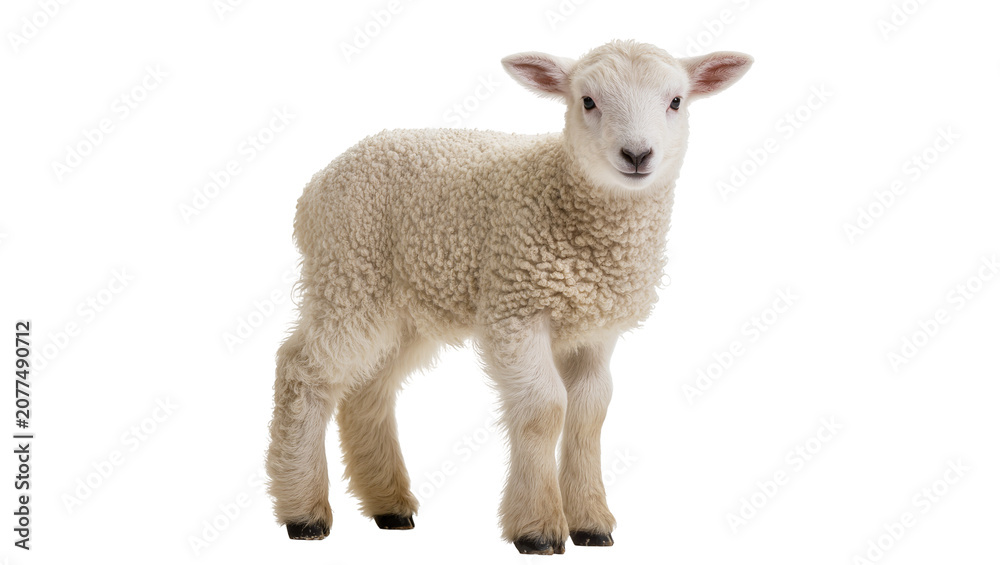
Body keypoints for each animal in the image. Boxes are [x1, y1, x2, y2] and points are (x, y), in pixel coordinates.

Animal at [266, 39, 752, 555]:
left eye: (676, 101)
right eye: (588, 101)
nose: (638, 154)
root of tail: (318, 184)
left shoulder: (595, 330)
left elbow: (589, 413)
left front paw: (590, 523)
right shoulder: (515, 308)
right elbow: (545, 409)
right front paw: (538, 528)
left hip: (408, 306)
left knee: (368, 388)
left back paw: (389, 506)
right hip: (348, 275)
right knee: (302, 372)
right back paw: (303, 512)